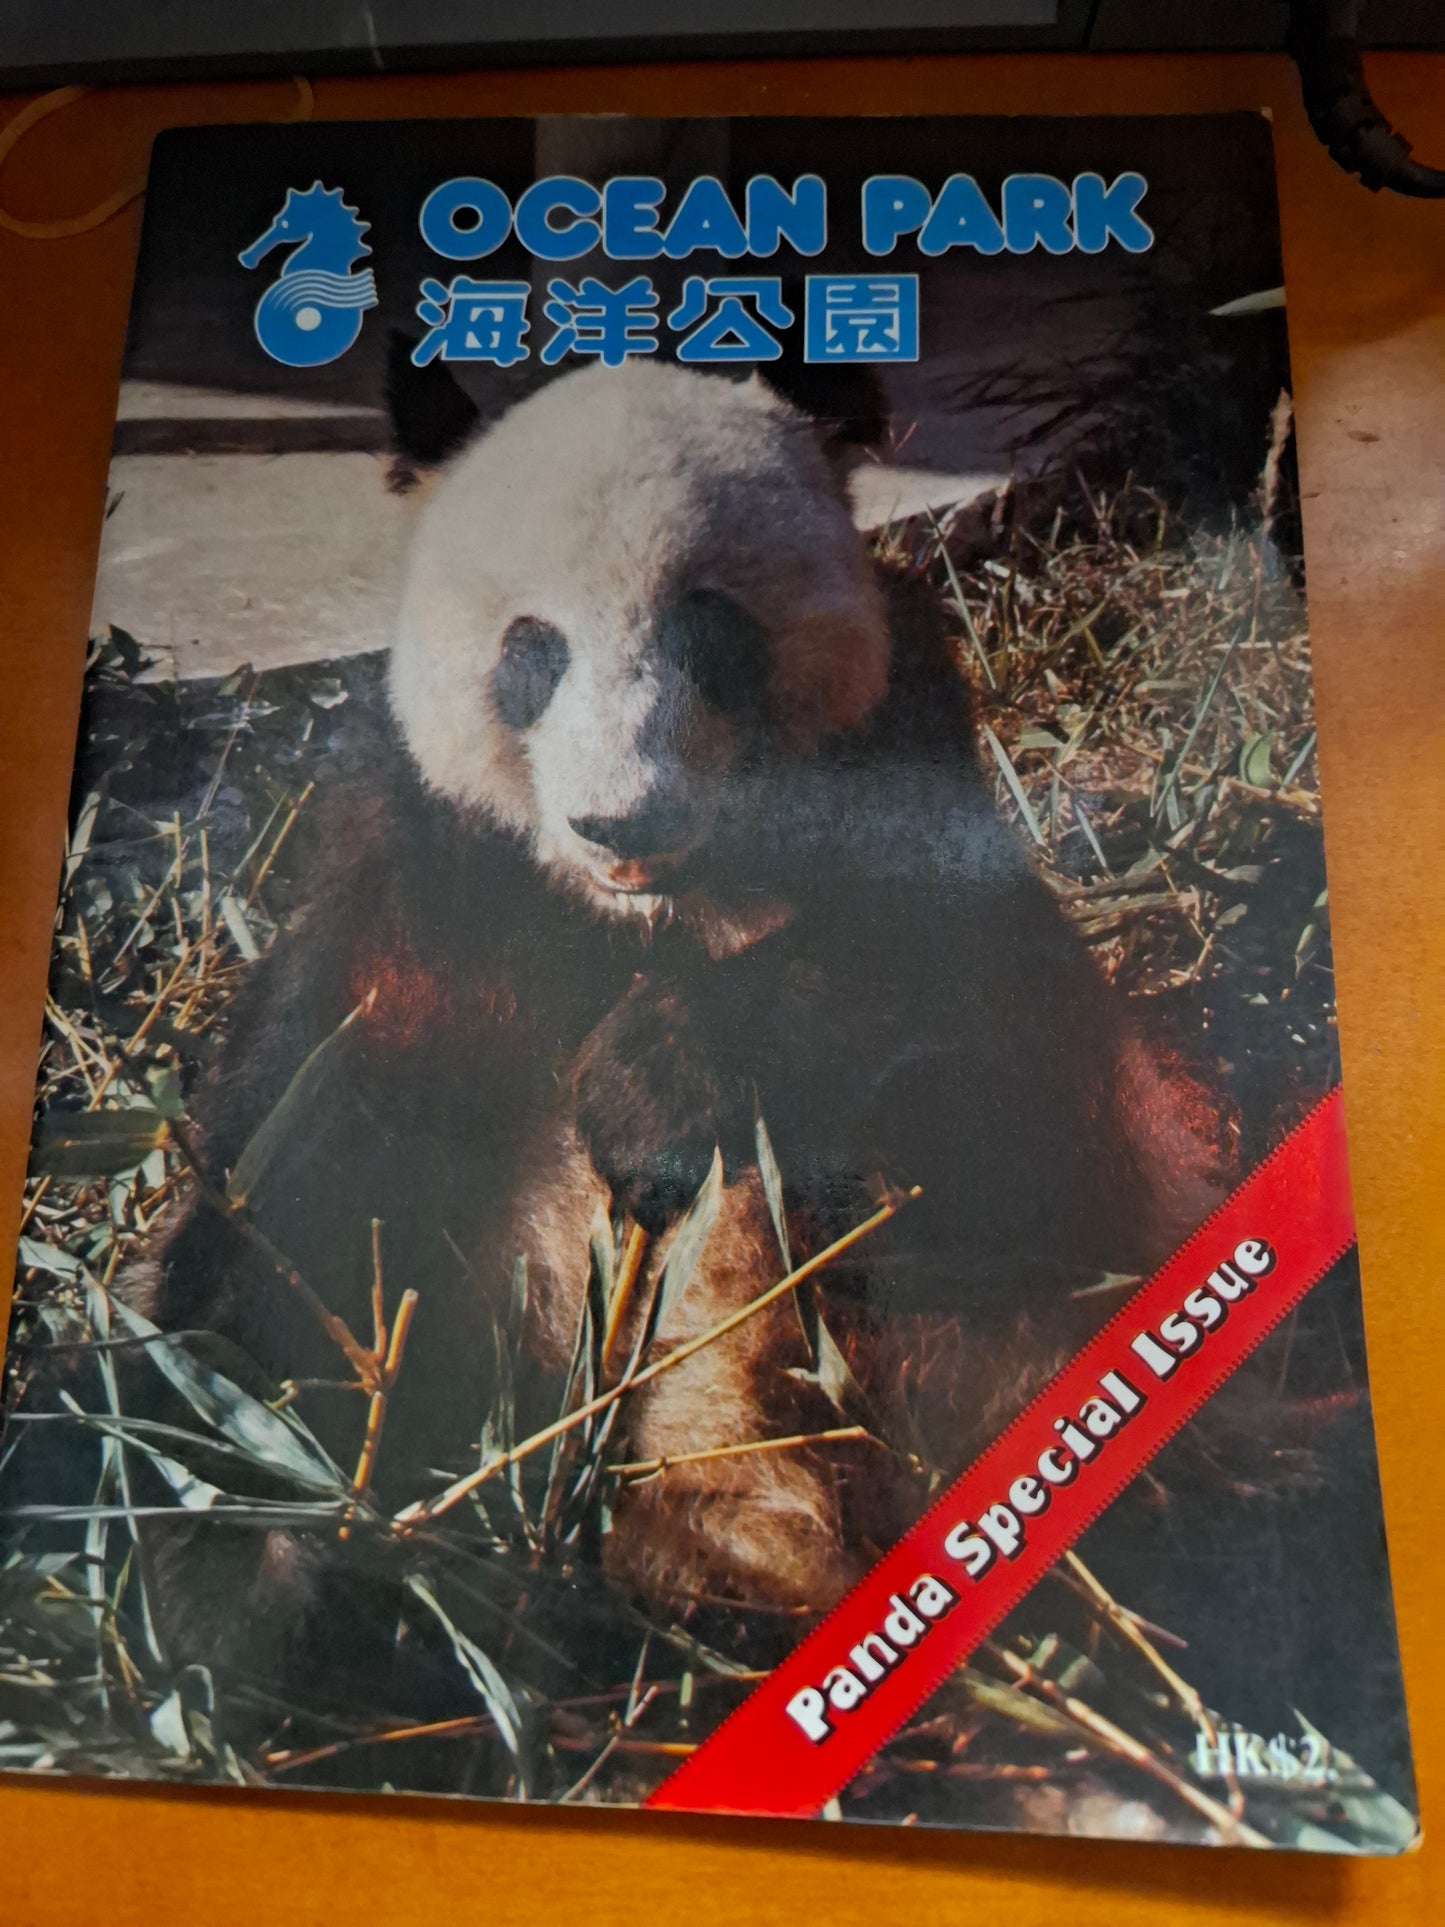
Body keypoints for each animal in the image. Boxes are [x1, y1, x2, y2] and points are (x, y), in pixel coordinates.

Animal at [136, 352, 1224, 1684]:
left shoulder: (913, 763)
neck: (660, 909)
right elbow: (298, 1164)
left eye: (711, 628)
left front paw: (653, 1088)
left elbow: (964, 1015)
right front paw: (242, 1575)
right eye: (533, 650)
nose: (623, 822)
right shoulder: (424, 866)